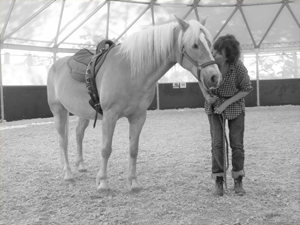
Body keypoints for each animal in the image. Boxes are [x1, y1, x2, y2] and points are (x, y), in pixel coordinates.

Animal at [47, 16, 223, 192]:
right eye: (194, 45)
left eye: (209, 43)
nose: (214, 77)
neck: (131, 71)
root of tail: (56, 65)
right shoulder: (110, 116)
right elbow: (106, 149)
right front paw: (103, 182)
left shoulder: (138, 117)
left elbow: (133, 149)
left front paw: (133, 182)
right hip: (59, 111)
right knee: (63, 141)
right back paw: (68, 174)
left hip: (83, 114)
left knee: (78, 134)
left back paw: (81, 165)